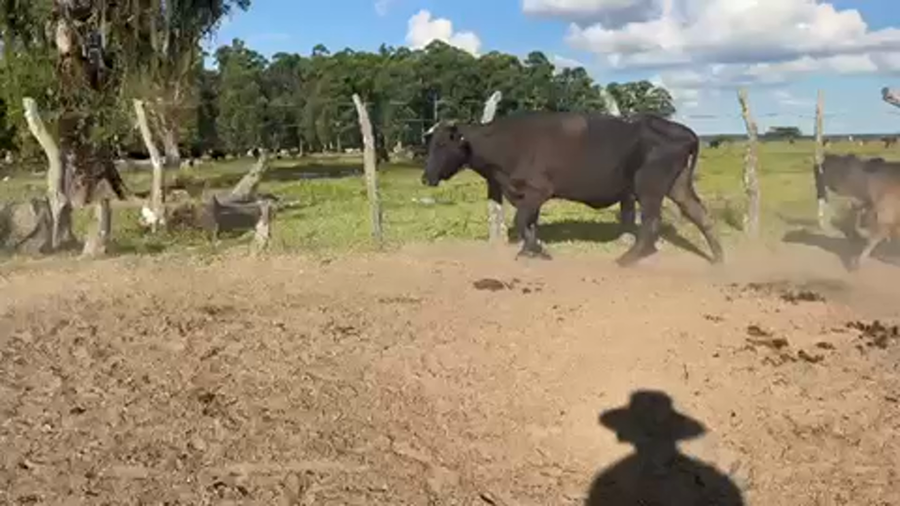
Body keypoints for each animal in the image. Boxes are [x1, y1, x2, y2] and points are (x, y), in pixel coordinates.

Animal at [420, 111, 724, 267]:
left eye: (443, 144)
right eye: (430, 143)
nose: (425, 178)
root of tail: (686, 131)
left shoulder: (538, 191)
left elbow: (521, 221)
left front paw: (538, 250)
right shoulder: (526, 196)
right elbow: (529, 223)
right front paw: (529, 250)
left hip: (648, 187)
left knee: (651, 222)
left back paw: (627, 258)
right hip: (677, 184)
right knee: (700, 214)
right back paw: (718, 258)